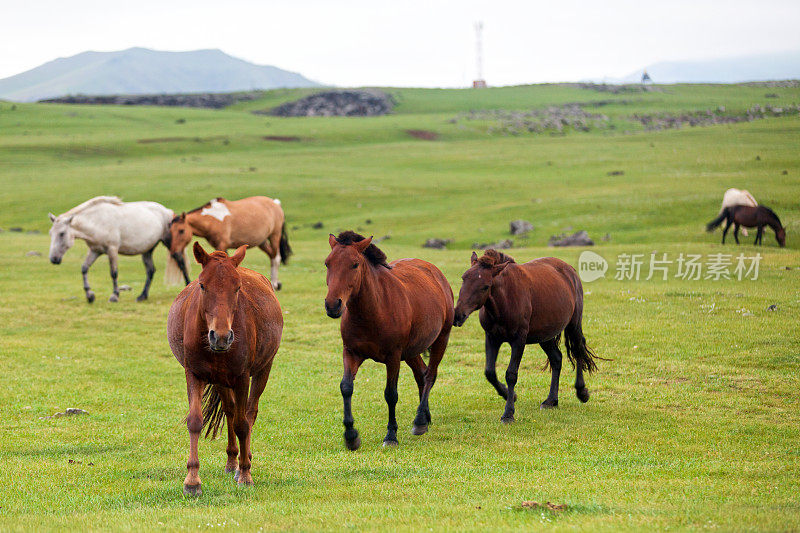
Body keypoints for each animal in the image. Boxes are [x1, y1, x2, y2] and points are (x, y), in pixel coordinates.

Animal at [48, 195, 188, 304]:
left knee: (181, 263)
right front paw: (90, 295)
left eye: (61, 233)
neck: (97, 221)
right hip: (147, 250)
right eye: (50, 233)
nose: (53, 259)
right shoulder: (95, 251)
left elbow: (113, 273)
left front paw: (114, 296)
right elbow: (84, 268)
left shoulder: (112, 250)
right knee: (150, 270)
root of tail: (167, 211)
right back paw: (142, 296)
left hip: (170, 244)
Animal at [167, 242, 282, 494]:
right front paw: (192, 480)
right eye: (202, 285)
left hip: (263, 370)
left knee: (249, 413)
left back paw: (243, 462)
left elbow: (242, 424)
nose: (221, 337)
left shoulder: (242, 377)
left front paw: (246, 474)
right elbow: (195, 421)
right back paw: (232, 461)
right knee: (230, 411)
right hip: (220, 380)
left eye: (237, 287)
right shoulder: (194, 374)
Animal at [322, 231, 454, 446]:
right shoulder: (351, 352)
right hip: (411, 351)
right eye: (327, 263)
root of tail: (436, 273)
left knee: (430, 375)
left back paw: (419, 421)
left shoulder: (393, 357)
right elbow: (346, 388)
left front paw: (391, 435)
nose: (333, 305)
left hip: (441, 339)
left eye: (355, 264)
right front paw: (351, 435)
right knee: (421, 375)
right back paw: (425, 417)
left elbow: (391, 394)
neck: (374, 311)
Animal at [456, 248, 600, 420]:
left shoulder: (519, 340)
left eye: (485, 286)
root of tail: (570, 270)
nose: (458, 315)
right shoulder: (492, 337)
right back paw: (551, 400)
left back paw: (581, 392)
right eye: (463, 279)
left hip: (574, 324)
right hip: (545, 335)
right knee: (557, 359)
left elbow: (511, 374)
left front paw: (508, 413)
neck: (505, 300)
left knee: (577, 351)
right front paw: (509, 395)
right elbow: (489, 372)